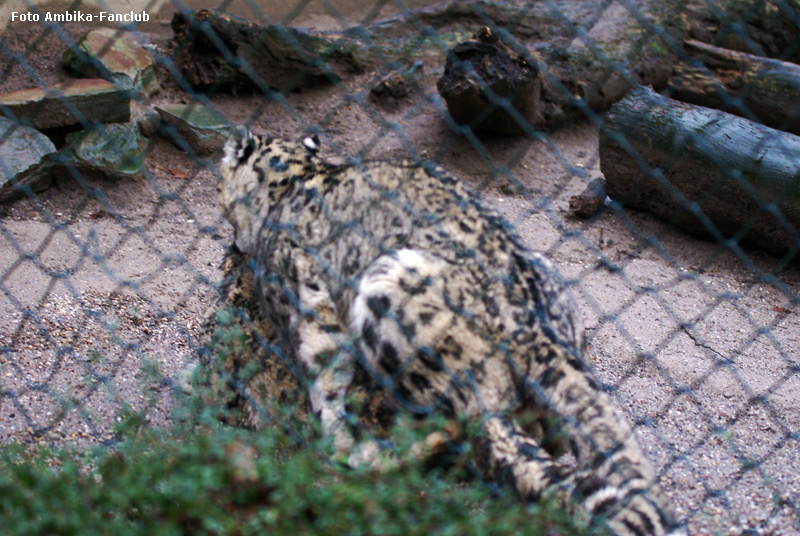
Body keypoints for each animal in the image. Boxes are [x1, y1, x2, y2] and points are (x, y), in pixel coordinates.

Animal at [216, 126, 684, 536]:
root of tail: (532, 325)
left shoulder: (303, 294)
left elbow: (323, 372)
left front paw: (336, 436)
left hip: (391, 298)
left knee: (470, 416)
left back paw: (377, 451)